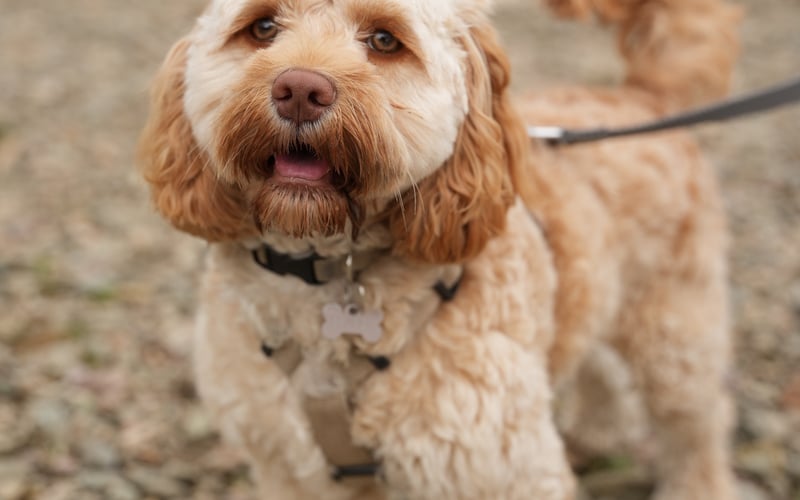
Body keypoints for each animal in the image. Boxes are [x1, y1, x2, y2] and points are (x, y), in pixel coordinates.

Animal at [139, 0, 744, 498]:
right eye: (262, 27)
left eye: (385, 40)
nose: (300, 90)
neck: (327, 266)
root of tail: (642, 95)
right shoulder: (288, 467)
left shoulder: (502, 467)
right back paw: (595, 433)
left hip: (674, 327)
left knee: (699, 421)